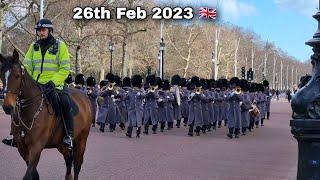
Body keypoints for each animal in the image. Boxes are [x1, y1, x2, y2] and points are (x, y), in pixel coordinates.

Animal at [0, 49, 92, 180]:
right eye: (1, 75)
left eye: (17, 75)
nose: (7, 107)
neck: (28, 113)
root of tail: (84, 97)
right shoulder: (22, 148)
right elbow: (34, 174)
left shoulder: (36, 147)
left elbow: (28, 175)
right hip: (60, 144)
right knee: (68, 158)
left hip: (81, 141)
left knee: (77, 166)